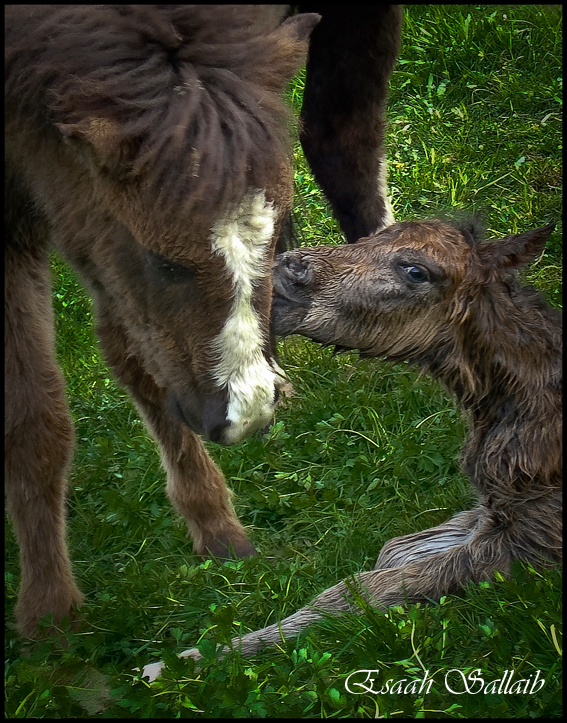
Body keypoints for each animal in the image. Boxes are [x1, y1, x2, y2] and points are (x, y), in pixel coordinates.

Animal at [4, 7, 322, 640]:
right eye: (164, 261)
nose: (248, 415)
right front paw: (48, 612)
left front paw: (216, 525)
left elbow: (139, 364)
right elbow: (34, 418)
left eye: (281, 230)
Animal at [143, 219, 564, 680]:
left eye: (416, 270)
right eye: (369, 237)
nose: (284, 270)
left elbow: (359, 590)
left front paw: (184, 662)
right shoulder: (494, 509)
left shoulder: (536, 537)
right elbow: (392, 552)